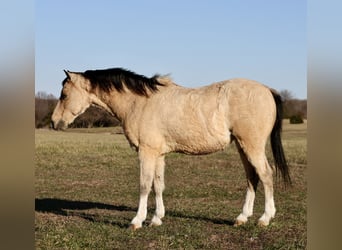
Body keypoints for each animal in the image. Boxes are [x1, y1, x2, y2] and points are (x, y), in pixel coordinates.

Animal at [51, 67, 292, 229]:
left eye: (64, 95)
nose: (54, 123)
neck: (140, 102)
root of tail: (267, 90)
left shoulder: (146, 152)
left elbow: (144, 185)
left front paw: (137, 221)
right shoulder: (158, 154)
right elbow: (158, 185)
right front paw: (156, 219)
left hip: (252, 146)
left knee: (266, 174)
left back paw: (264, 218)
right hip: (243, 147)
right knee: (252, 177)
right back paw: (242, 218)